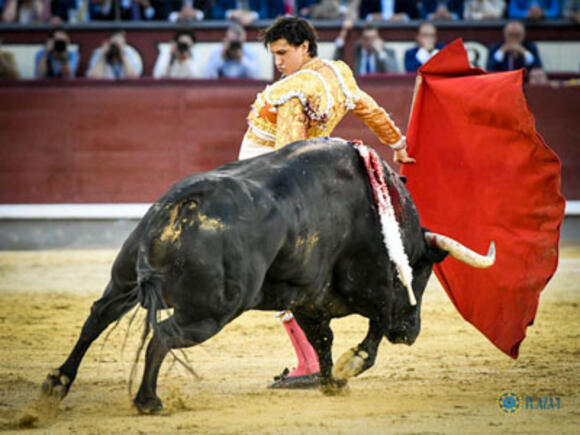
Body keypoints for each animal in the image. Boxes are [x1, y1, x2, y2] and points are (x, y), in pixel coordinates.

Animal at [42, 138, 448, 414]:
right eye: (422, 276)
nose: (411, 332)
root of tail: (180, 204)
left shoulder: (305, 294)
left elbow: (323, 339)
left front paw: (331, 382)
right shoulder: (366, 283)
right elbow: (375, 323)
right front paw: (352, 365)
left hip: (124, 280)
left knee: (97, 318)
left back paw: (57, 384)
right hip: (210, 313)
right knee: (163, 336)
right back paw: (148, 400)